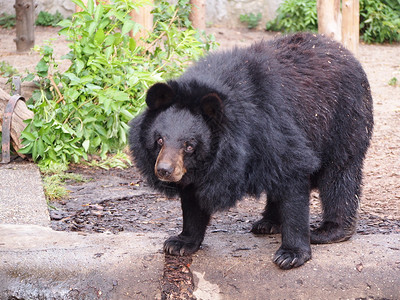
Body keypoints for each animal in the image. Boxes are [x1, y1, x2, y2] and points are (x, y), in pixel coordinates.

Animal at [129, 32, 376, 270]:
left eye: (189, 145)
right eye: (160, 140)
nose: (164, 170)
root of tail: (342, 50)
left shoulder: (272, 127)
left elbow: (292, 172)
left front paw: (291, 255)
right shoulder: (200, 167)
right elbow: (192, 199)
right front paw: (180, 243)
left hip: (344, 119)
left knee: (340, 173)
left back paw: (329, 231)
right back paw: (267, 223)